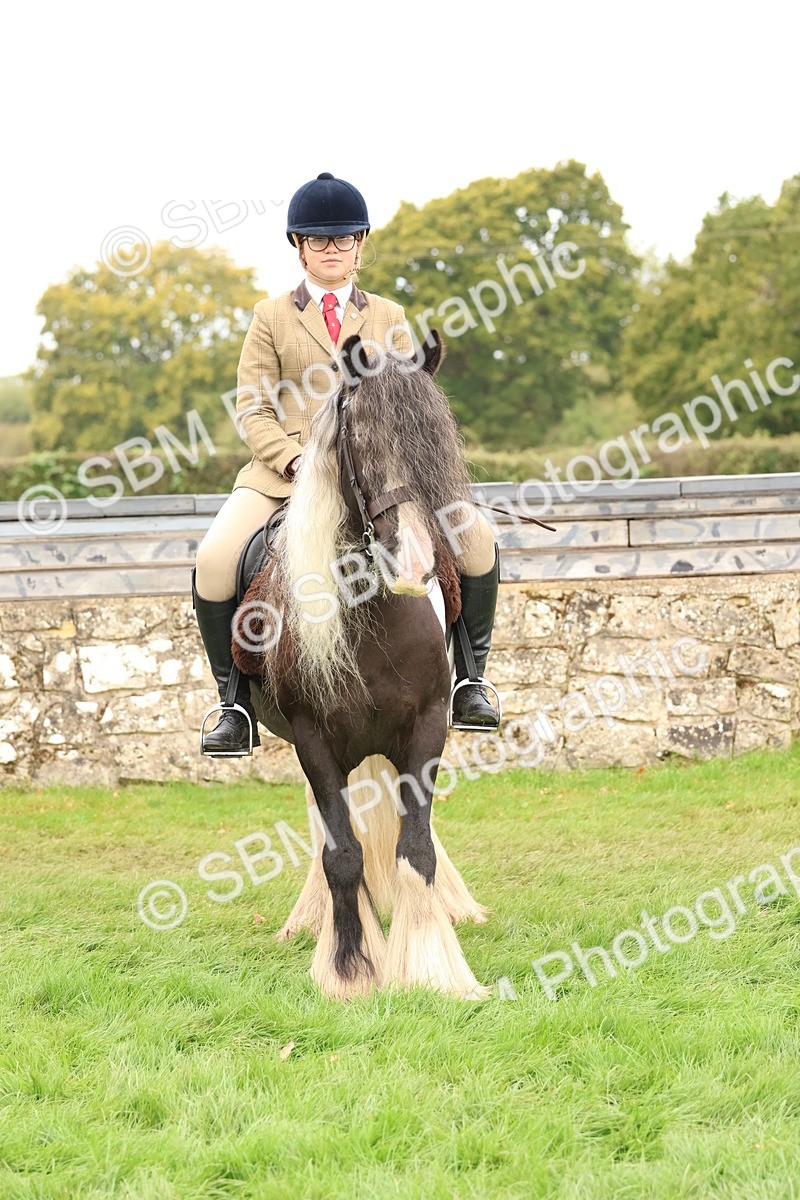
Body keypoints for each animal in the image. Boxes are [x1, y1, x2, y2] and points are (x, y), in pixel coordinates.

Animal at [231, 331, 491, 1001]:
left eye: (435, 446)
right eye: (363, 444)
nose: (416, 564)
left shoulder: (427, 727)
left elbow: (415, 848)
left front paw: (429, 964)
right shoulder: (313, 739)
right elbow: (342, 853)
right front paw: (349, 967)